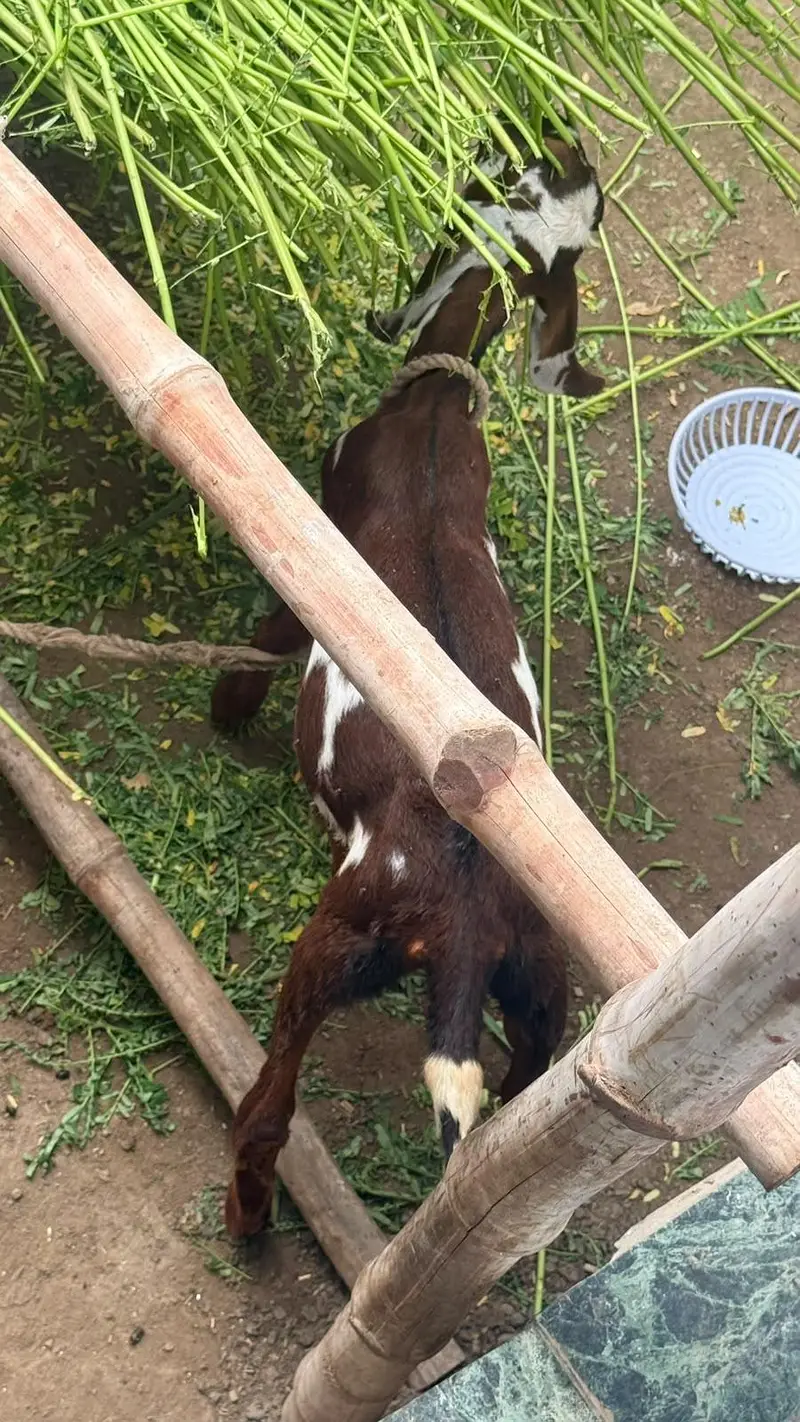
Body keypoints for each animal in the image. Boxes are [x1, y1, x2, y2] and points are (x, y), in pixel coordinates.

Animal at [212, 131, 601, 1237]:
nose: (561, 129)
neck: (432, 411)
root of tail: (464, 930)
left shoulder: (319, 532)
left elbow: (267, 634)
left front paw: (225, 713)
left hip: (336, 940)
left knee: (269, 1103)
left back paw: (248, 1217)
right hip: (541, 988)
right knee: (512, 1105)